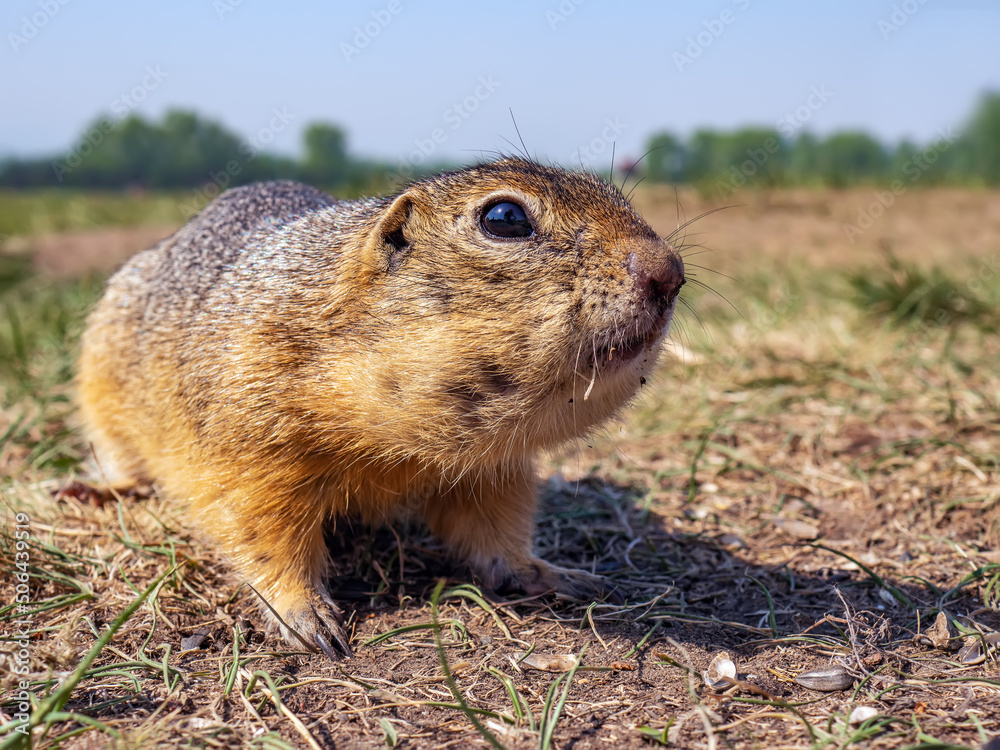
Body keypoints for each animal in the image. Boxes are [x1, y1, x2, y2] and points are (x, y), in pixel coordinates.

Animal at [78, 159, 684, 656]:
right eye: (505, 217)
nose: (670, 271)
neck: (400, 445)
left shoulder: (495, 471)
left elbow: (495, 536)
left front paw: (553, 574)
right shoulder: (247, 441)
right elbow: (262, 534)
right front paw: (307, 617)